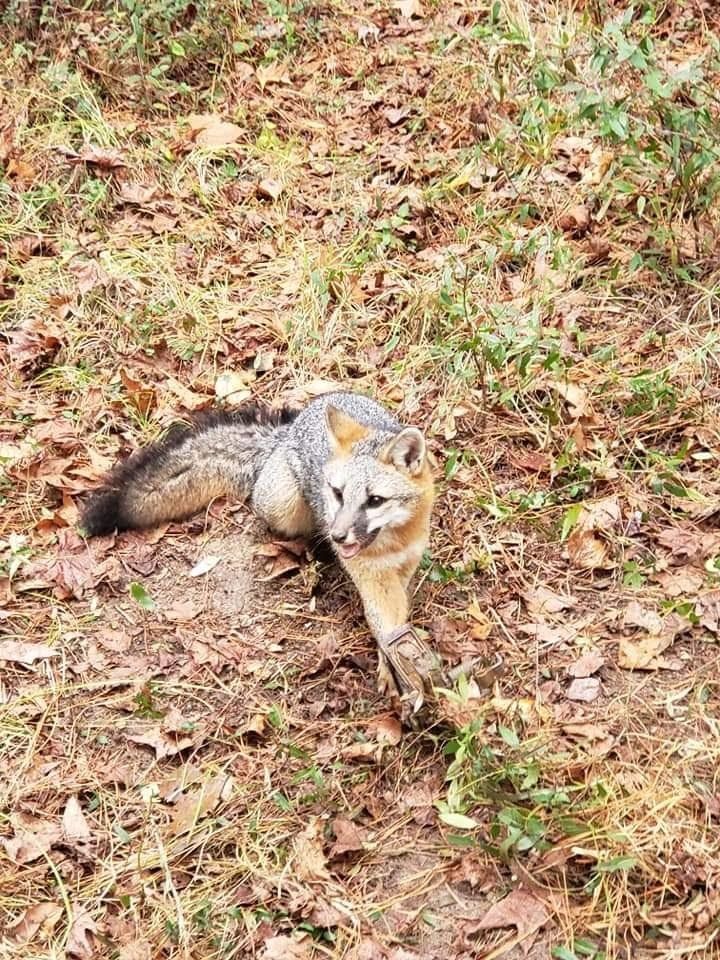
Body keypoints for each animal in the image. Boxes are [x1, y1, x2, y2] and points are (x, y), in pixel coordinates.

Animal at [81, 391, 444, 709]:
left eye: (375, 500)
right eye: (338, 494)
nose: (339, 535)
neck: (395, 540)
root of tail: (289, 430)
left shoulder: (403, 568)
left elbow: (397, 624)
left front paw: (401, 666)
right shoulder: (372, 577)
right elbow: (384, 625)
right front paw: (397, 672)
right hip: (283, 506)